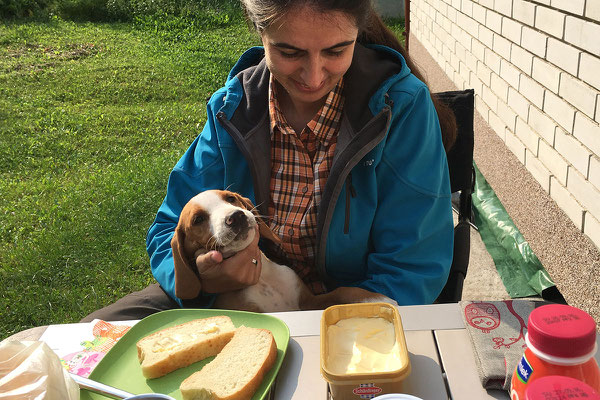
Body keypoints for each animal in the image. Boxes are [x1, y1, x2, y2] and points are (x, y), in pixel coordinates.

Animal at [171, 189, 396, 314]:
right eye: (198, 219)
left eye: (231, 198)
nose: (235, 216)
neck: (262, 278)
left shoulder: (308, 301)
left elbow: (342, 291)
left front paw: (375, 299)